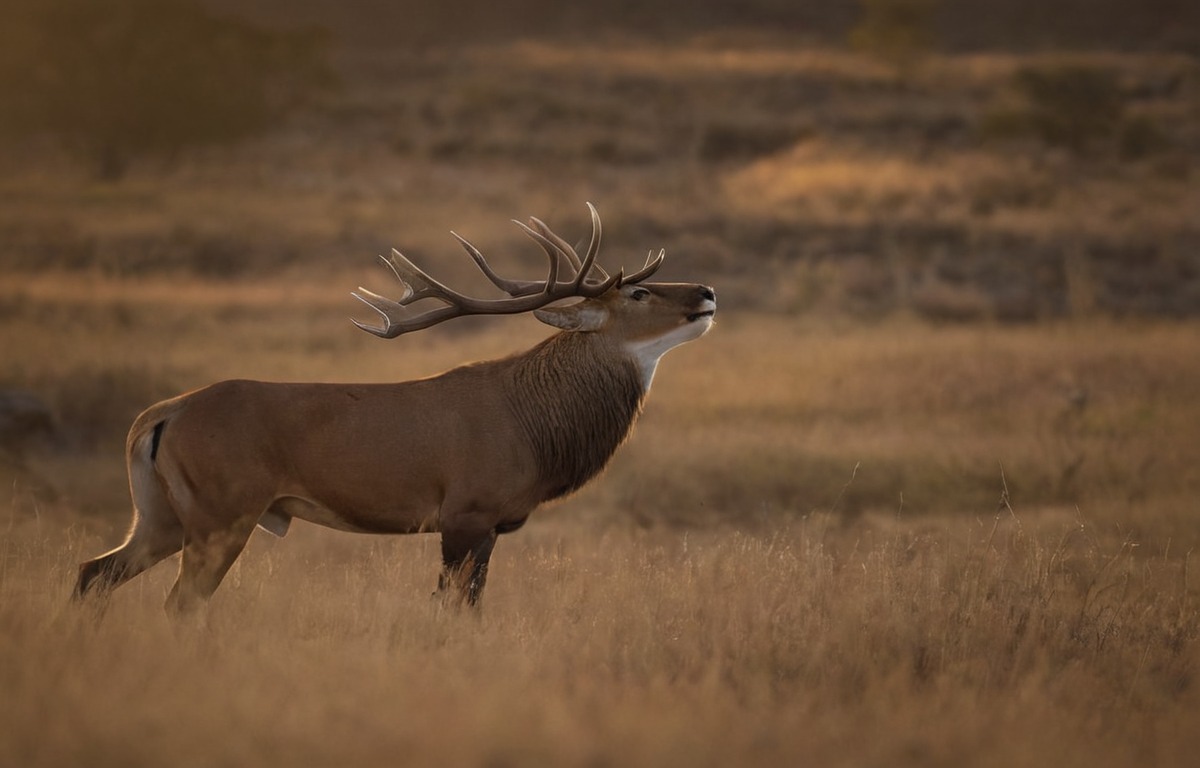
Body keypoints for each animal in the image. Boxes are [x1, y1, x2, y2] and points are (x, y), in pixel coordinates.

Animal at [72, 202, 710, 612]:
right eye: (638, 292)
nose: (706, 292)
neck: (535, 429)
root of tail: (158, 418)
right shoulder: (465, 510)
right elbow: (452, 610)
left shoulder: (493, 525)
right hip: (221, 507)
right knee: (178, 602)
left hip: (161, 512)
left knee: (93, 572)